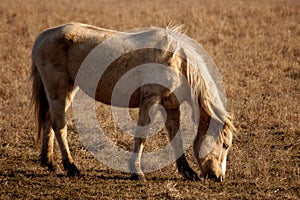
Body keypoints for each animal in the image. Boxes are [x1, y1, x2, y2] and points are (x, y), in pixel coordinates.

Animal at [29, 21, 234, 181]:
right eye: (225, 145)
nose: (220, 178)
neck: (176, 61)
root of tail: (42, 37)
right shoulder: (150, 101)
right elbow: (141, 136)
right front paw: (137, 172)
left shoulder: (171, 105)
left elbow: (176, 138)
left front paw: (188, 172)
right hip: (58, 89)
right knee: (59, 124)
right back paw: (71, 167)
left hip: (68, 89)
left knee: (49, 120)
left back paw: (49, 162)